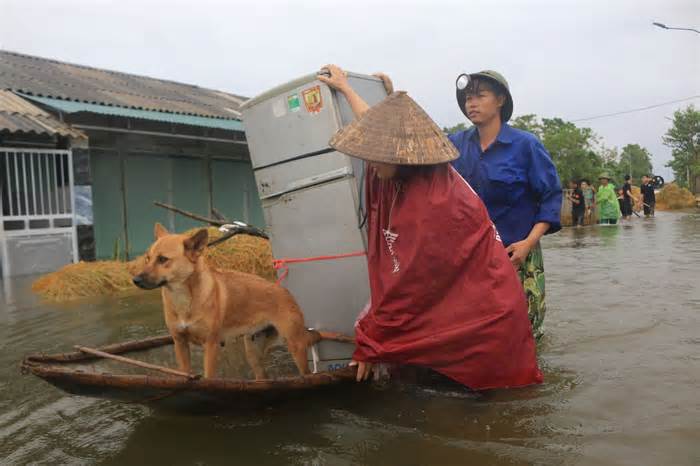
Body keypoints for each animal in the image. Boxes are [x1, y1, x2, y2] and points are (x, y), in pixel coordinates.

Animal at [131, 224, 320, 380]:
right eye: (147, 258)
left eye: (163, 259)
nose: (135, 280)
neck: (184, 300)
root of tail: (284, 291)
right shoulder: (180, 343)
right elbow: (185, 373)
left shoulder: (210, 345)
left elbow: (209, 377)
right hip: (253, 352)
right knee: (262, 378)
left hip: (295, 347)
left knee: (306, 374)